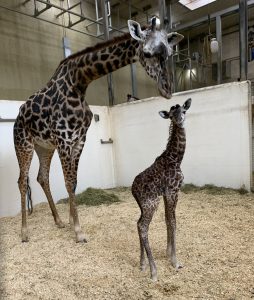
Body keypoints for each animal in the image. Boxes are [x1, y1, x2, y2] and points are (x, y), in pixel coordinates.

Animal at [13, 17, 184, 241]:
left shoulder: (78, 139)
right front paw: (78, 232)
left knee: (42, 177)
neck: (79, 82)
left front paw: (71, 223)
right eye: (147, 53)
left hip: (44, 147)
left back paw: (58, 221)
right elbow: (68, 182)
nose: (167, 89)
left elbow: (73, 182)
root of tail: (17, 116)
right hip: (23, 143)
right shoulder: (64, 139)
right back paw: (24, 232)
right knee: (22, 181)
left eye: (170, 53)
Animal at [132, 98, 191, 282]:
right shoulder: (173, 190)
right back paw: (154, 272)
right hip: (151, 203)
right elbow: (173, 222)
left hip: (144, 206)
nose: (180, 120)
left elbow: (167, 220)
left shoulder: (166, 193)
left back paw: (142, 264)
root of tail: (132, 190)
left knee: (138, 224)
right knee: (143, 227)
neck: (176, 158)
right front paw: (175, 261)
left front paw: (168, 253)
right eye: (172, 115)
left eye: (184, 111)